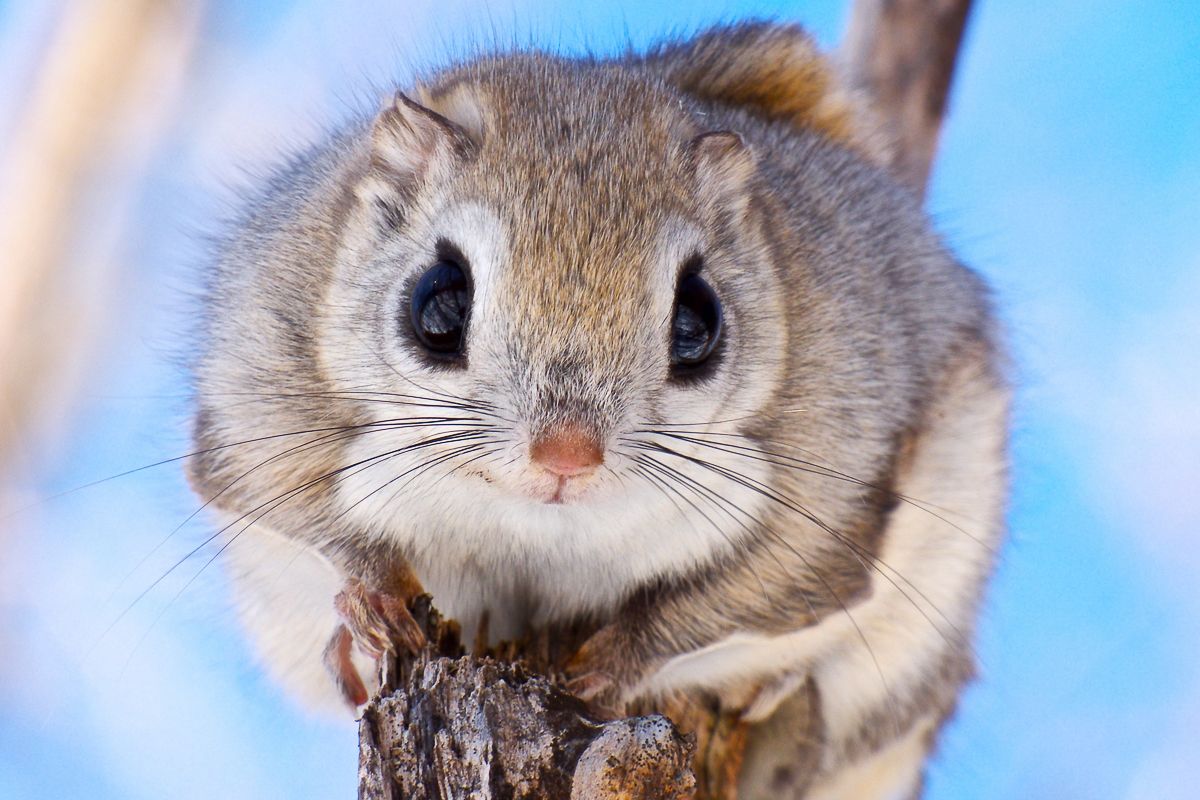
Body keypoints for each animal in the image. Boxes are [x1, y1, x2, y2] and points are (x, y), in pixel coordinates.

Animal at [188, 21, 1007, 799]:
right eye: (437, 301)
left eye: (698, 320)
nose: (567, 455)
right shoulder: (256, 388)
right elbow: (285, 503)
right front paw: (373, 597)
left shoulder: (833, 471)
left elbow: (750, 593)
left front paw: (610, 663)